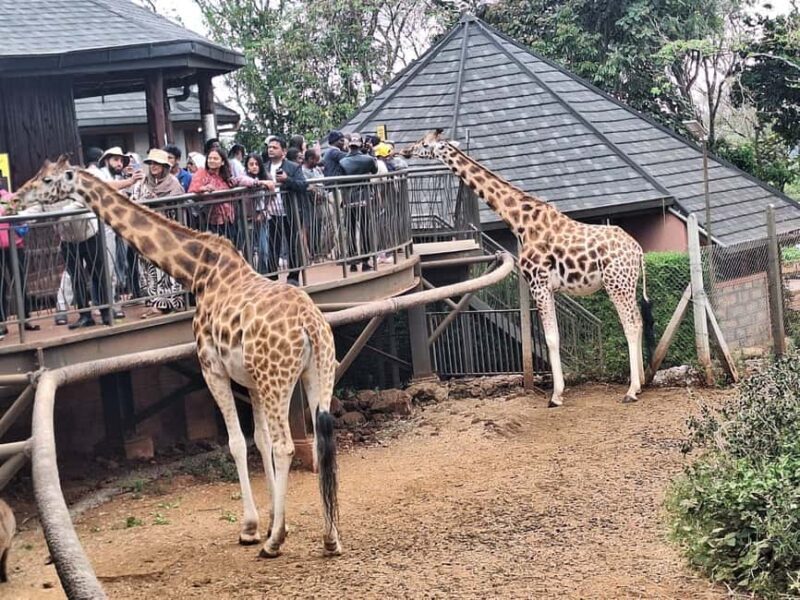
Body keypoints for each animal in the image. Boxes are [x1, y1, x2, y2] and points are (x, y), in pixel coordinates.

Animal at [13, 156, 341, 558]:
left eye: (47, 180)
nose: (16, 198)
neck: (198, 271)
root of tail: (311, 325)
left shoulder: (211, 368)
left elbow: (237, 443)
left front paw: (253, 529)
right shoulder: (249, 379)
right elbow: (258, 441)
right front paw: (270, 521)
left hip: (277, 378)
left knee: (286, 445)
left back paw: (274, 543)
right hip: (315, 372)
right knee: (322, 438)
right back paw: (330, 538)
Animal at [402, 130, 654, 406]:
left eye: (425, 144)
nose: (405, 151)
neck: (520, 222)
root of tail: (637, 250)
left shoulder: (538, 282)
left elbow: (551, 338)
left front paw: (555, 396)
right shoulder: (548, 287)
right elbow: (553, 336)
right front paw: (558, 392)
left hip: (615, 283)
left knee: (631, 324)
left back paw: (631, 390)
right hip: (627, 284)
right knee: (639, 320)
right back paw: (641, 383)